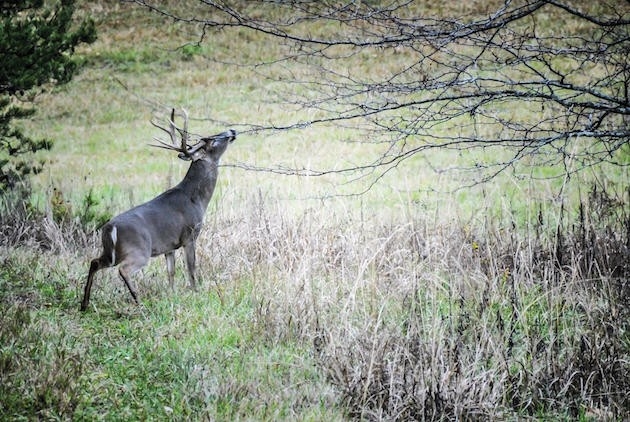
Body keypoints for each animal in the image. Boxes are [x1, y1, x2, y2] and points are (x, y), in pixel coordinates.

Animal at [80, 108, 236, 314]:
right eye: (212, 140)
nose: (232, 131)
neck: (197, 199)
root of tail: (110, 228)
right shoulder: (189, 236)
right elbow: (191, 268)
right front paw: (196, 292)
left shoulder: (168, 246)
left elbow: (171, 272)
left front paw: (172, 294)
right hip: (139, 249)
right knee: (123, 270)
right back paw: (138, 301)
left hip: (111, 252)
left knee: (95, 262)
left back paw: (84, 304)